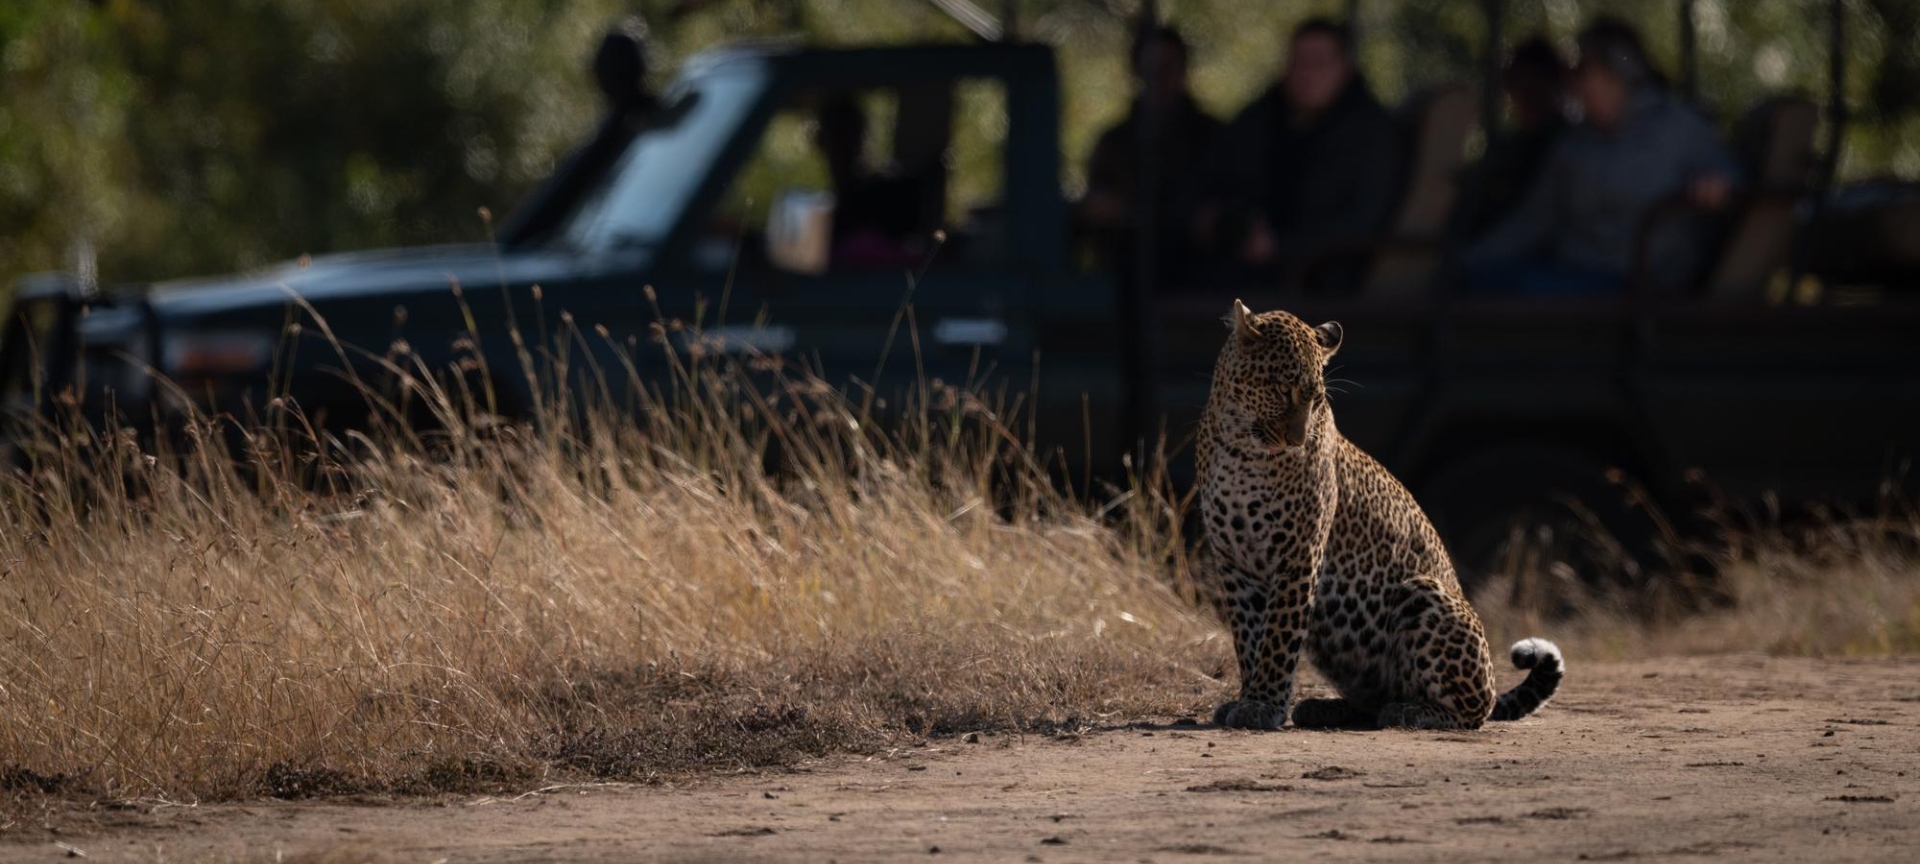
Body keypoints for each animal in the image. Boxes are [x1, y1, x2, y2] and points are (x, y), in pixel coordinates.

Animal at [1198, 299, 1559, 733]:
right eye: (1282, 389)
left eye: (1316, 400)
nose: (1297, 441)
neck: (1241, 447)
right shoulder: (1234, 562)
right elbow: (1249, 639)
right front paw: (1248, 698)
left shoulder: (1299, 552)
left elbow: (1278, 636)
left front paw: (1263, 705)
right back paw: (1324, 708)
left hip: (1421, 592)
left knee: (1472, 713)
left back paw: (1410, 712)